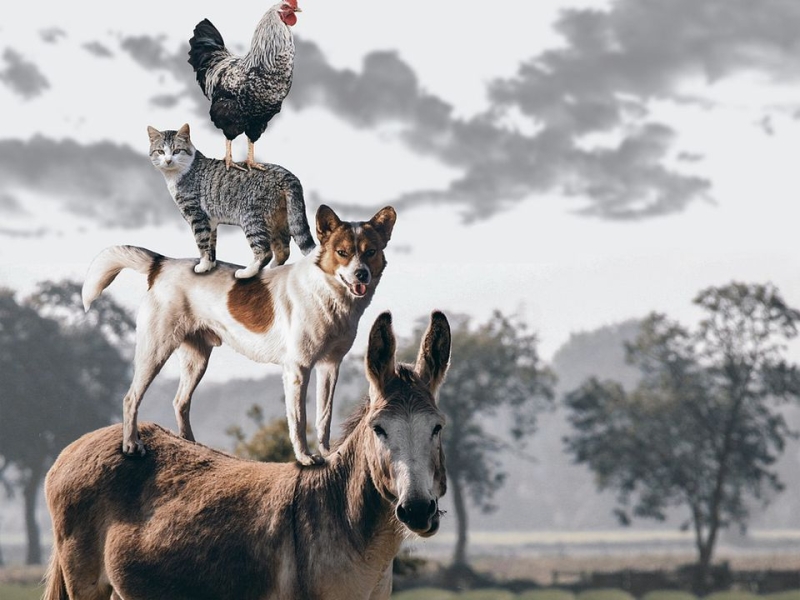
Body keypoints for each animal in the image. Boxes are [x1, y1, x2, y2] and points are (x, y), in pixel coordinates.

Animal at [82, 205, 396, 464]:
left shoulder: (330, 366)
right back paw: (131, 445)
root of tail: (161, 264)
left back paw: (193, 446)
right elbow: (299, 419)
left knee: (180, 402)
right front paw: (306, 458)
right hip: (155, 351)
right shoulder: (298, 369)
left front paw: (329, 453)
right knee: (131, 398)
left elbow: (323, 417)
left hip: (196, 360)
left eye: (370, 251)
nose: (361, 275)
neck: (326, 291)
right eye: (342, 252)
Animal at [147, 125, 316, 280]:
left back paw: (247, 272)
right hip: (278, 219)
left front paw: (202, 265)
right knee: (283, 249)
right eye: (160, 152)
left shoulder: (197, 216)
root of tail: (287, 175)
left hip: (252, 218)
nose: (168, 160)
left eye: (177, 151)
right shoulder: (210, 220)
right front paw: (210, 265)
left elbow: (202, 242)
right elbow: (211, 244)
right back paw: (273, 270)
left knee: (265, 251)